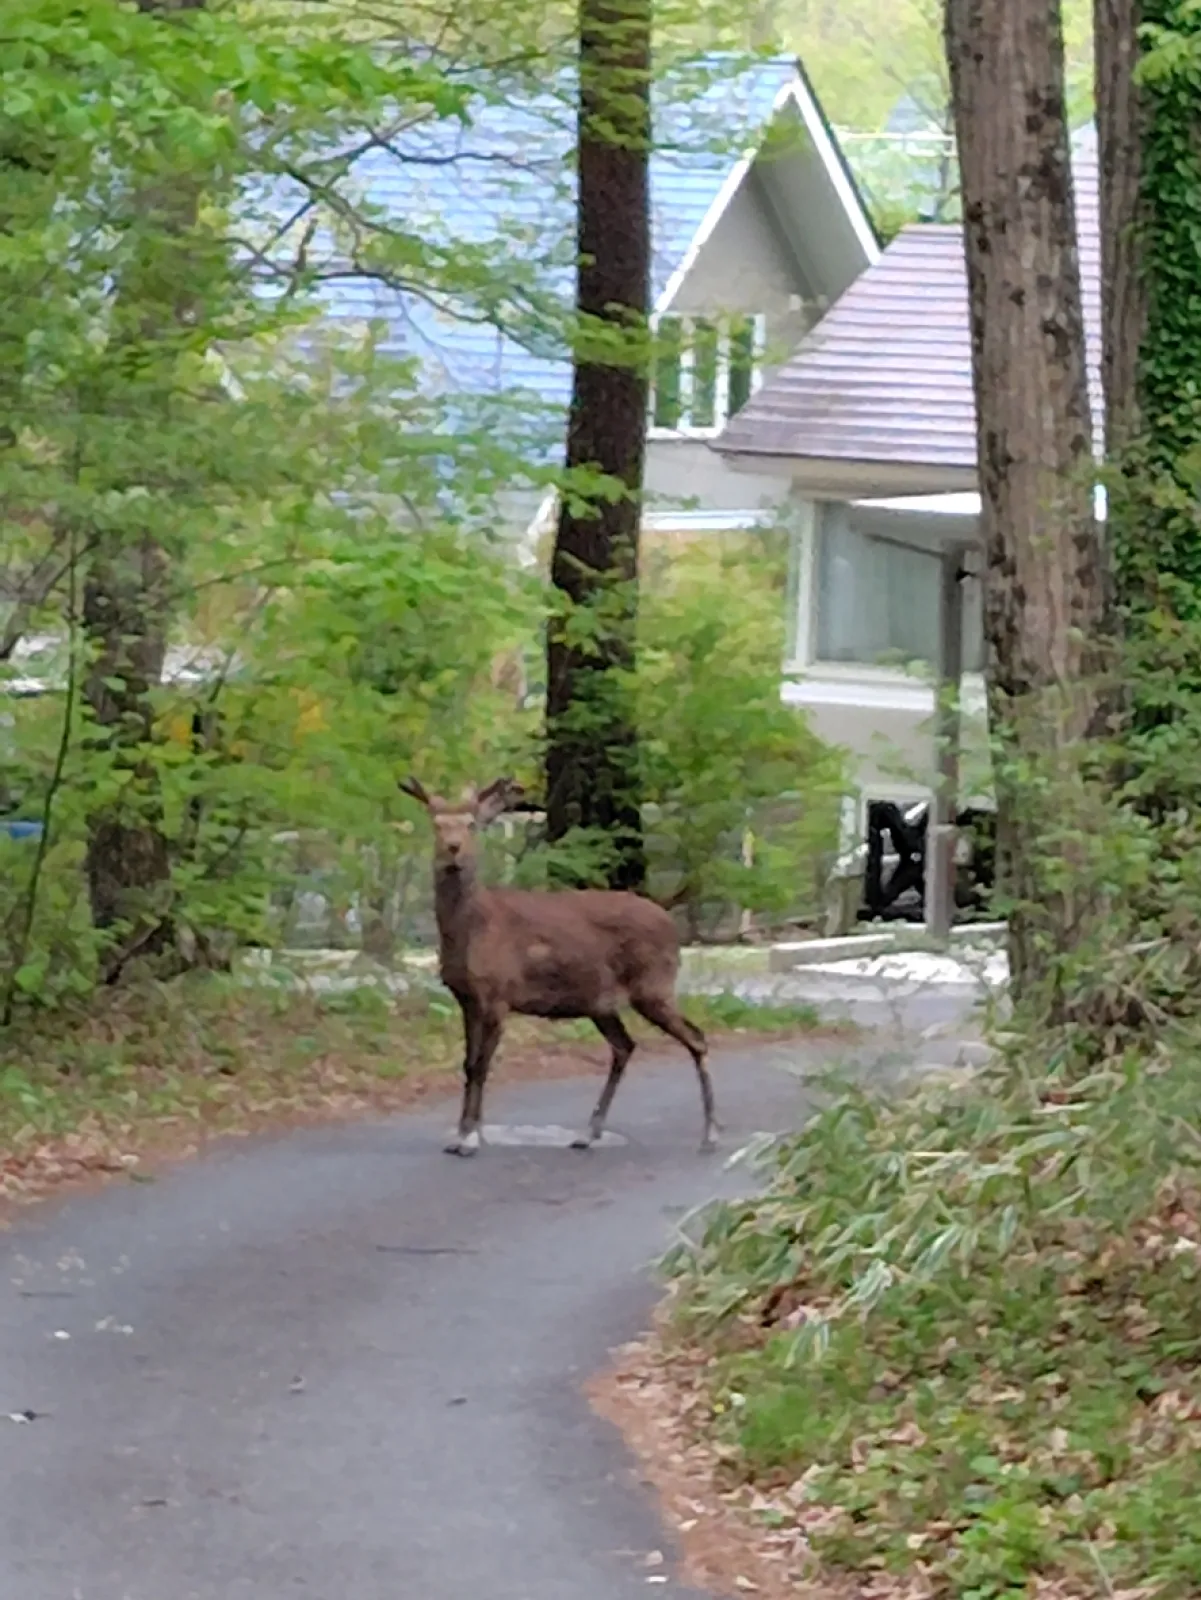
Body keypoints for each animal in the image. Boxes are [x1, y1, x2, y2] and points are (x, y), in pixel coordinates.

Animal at [400, 775, 717, 1157]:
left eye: (471, 824)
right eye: (436, 824)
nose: (453, 848)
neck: (471, 929)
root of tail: (672, 925)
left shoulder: (497, 995)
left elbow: (481, 1065)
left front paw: (470, 1138)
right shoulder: (466, 998)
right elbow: (467, 1064)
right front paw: (461, 1135)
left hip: (653, 985)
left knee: (696, 1038)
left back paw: (710, 1134)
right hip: (602, 1002)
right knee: (625, 1046)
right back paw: (589, 1133)